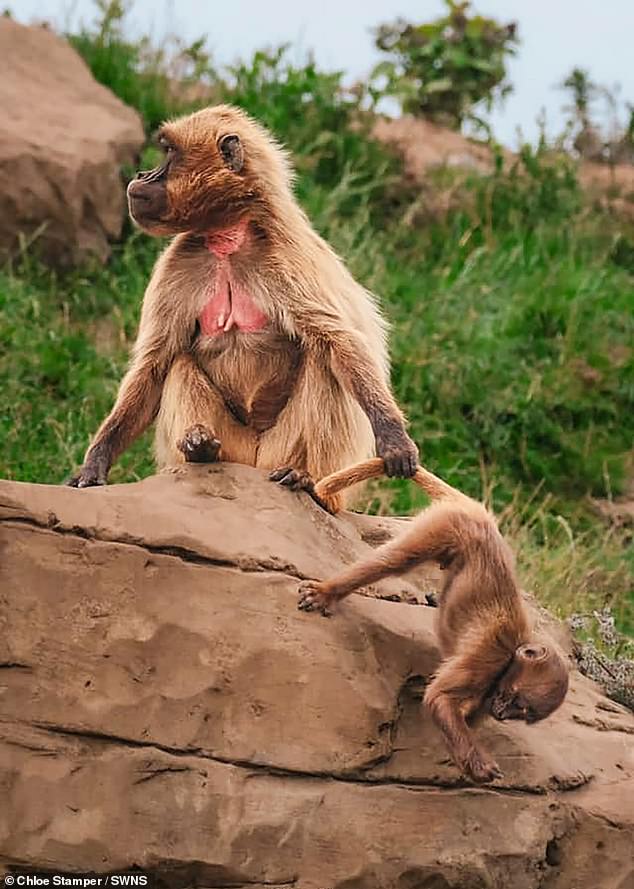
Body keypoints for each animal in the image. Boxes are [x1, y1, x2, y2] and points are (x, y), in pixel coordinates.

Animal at [68, 105, 420, 510]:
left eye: (168, 152)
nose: (141, 176)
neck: (229, 239)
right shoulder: (180, 260)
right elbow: (154, 365)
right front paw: (96, 462)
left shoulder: (283, 255)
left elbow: (341, 340)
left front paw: (393, 437)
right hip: (235, 449)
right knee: (181, 364)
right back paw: (200, 450)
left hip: (278, 452)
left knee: (323, 360)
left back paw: (307, 481)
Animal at [296, 462, 568, 780]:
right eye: (517, 701)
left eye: (522, 713)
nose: (501, 712)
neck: (511, 655)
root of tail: (480, 514)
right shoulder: (485, 660)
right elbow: (440, 698)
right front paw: (479, 765)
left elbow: (463, 713)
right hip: (449, 525)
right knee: (396, 559)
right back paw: (330, 592)